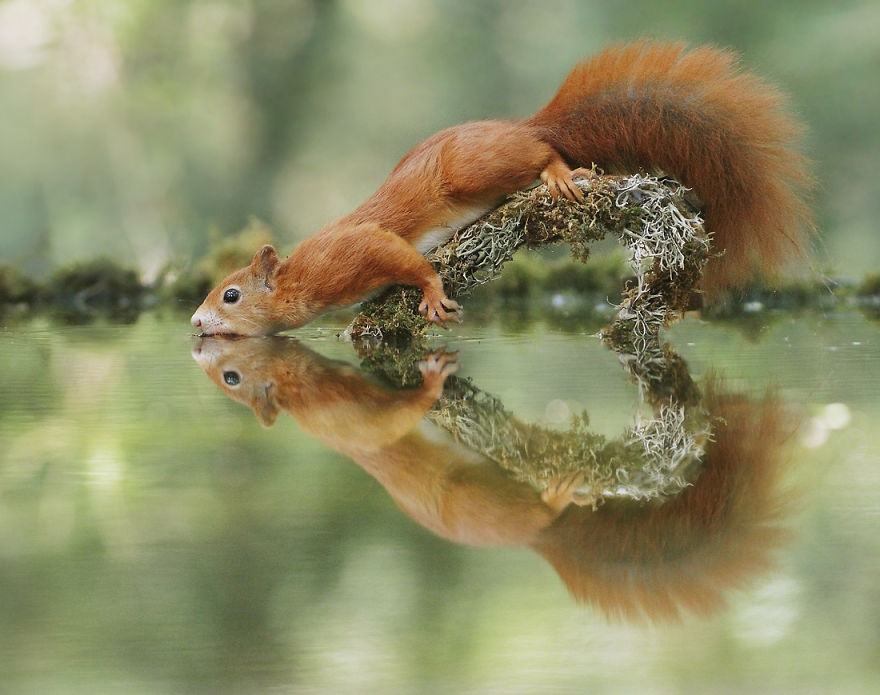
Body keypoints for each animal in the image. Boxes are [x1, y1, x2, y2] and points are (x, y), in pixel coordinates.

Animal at [191, 41, 812, 336]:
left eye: (231, 294)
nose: (195, 323)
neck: (302, 278)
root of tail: (522, 126)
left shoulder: (349, 255)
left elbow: (398, 256)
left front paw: (430, 292)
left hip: (472, 168)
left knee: (542, 154)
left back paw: (556, 171)